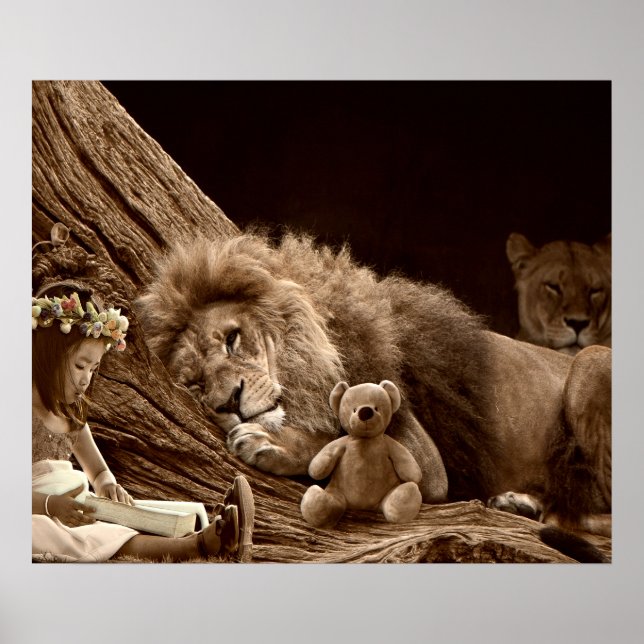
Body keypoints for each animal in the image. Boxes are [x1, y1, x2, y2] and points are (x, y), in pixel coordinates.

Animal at [135, 232, 611, 549]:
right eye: (196, 384)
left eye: (233, 339)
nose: (229, 401)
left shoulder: (425, 463)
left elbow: (344, 442)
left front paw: (271, 442)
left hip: (590, 363)